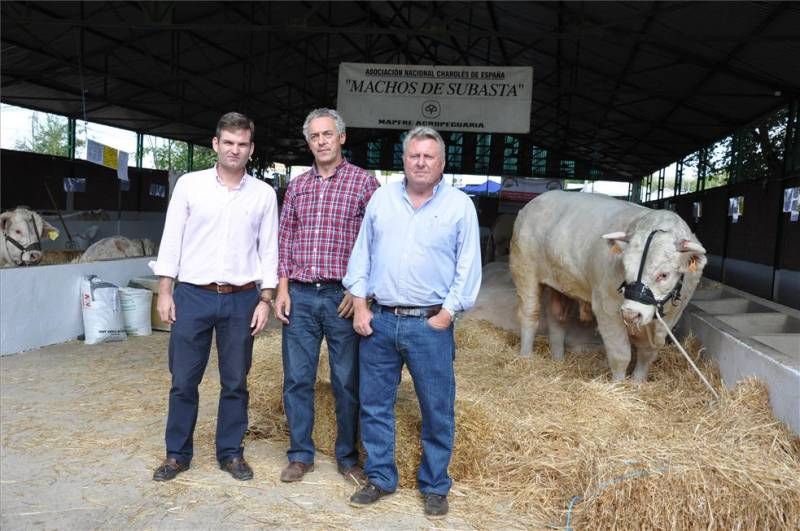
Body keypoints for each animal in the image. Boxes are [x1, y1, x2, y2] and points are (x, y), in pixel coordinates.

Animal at [512, 191, 708, 382]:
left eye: (664, 275)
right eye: (625, 268)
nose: (630, 314)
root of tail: (537, 200)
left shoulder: (670, 318)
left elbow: (647, 354)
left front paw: (638, 384)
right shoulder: (606, 307)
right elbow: (620, 354)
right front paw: (618, 386)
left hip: (561, 284)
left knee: (557, 318)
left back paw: (558, 359)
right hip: (525, 270)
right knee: (530, 315)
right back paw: (526, 357)